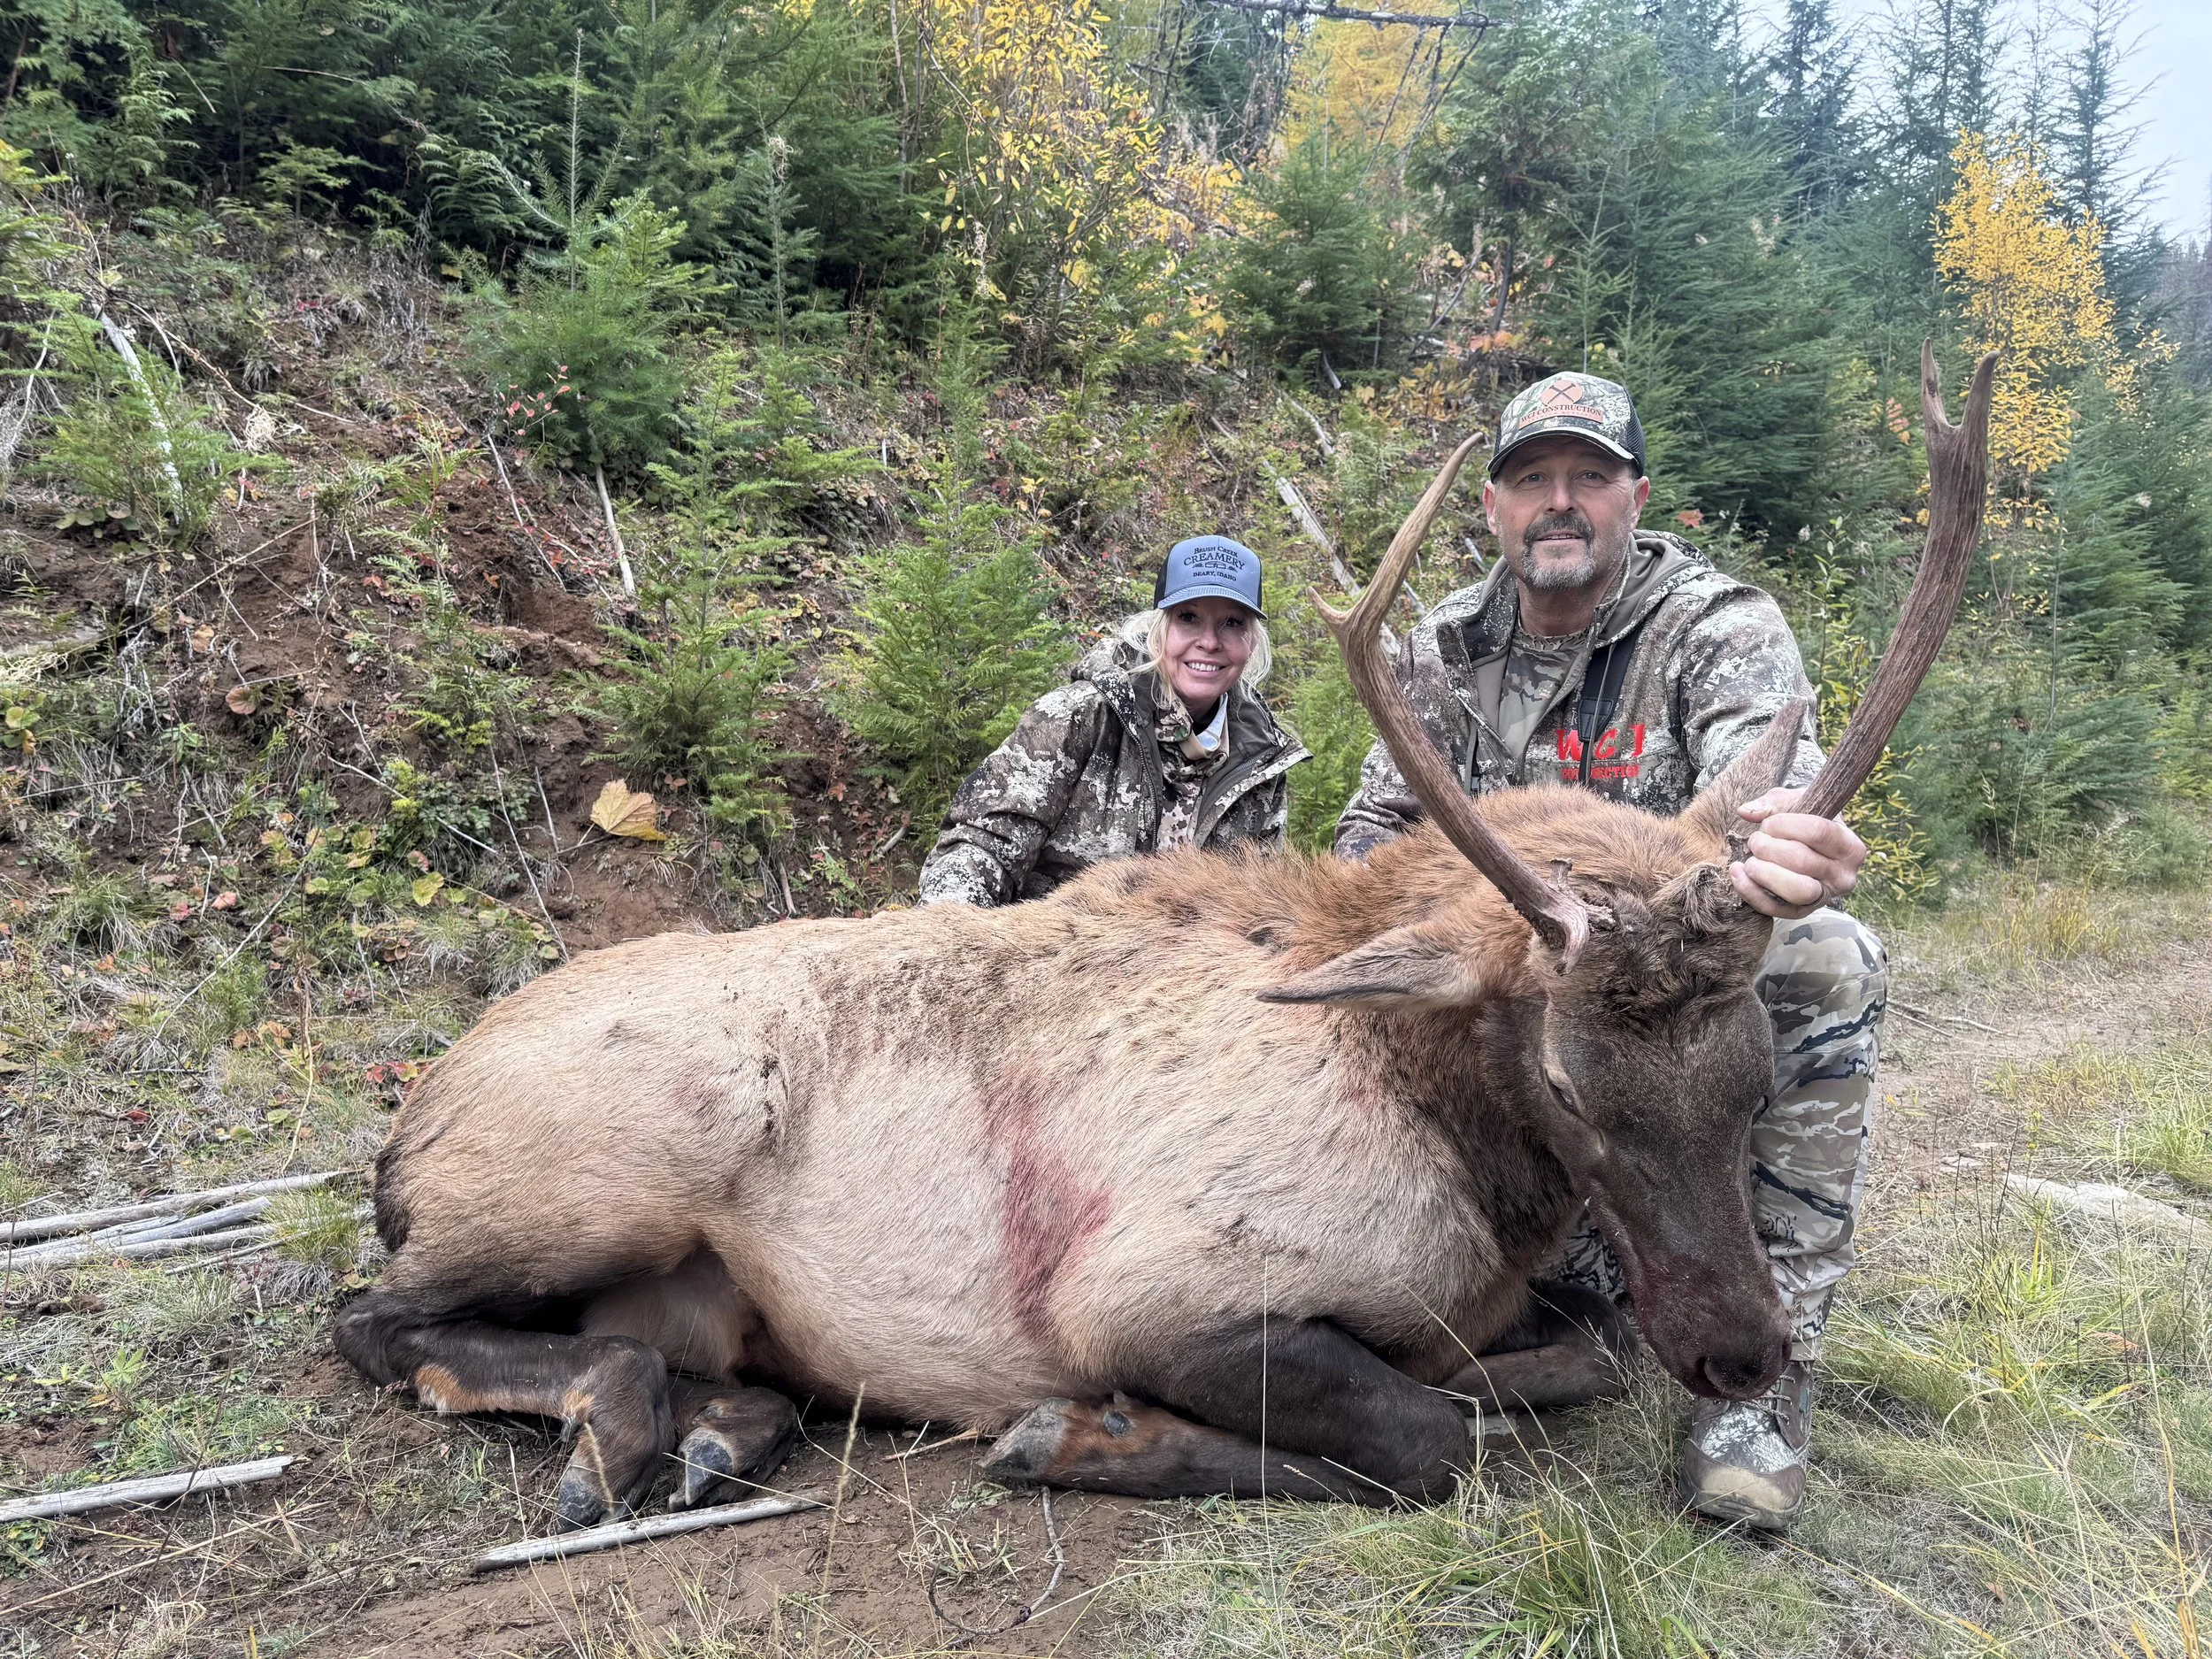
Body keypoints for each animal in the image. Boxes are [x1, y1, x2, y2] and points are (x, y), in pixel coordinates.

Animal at [335, 346, 1996, 1527]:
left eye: (1756, 1074)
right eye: (1571, 1085)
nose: (1741, 1352)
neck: (1459, 1148)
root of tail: (408, 1130)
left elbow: (1551, 1360)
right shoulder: (1153, 1287)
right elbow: (1432, 1432)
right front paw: (1074, 1432)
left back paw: (720, 1427)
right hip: (608, 1166)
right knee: (381, 1315)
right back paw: (630, 1426)